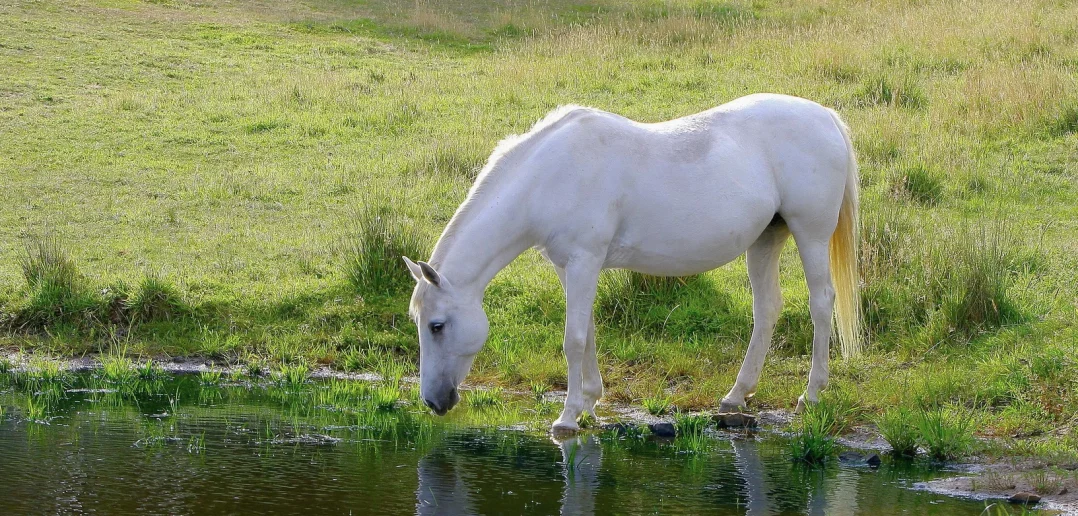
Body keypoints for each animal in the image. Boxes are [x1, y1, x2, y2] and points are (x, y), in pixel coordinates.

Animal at [404, 93, 862, 433]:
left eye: (437, 326)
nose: (433, 401)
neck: (549, 175)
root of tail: (826, 117)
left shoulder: (584, 261)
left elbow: (573, 339)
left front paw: (567, 418)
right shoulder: (569, 266)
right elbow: (586, 332)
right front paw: (589, 402)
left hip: (810, 235)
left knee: (821, 304)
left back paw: (811, 395)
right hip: (766, 239)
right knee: (766, 310)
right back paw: (736, 395)